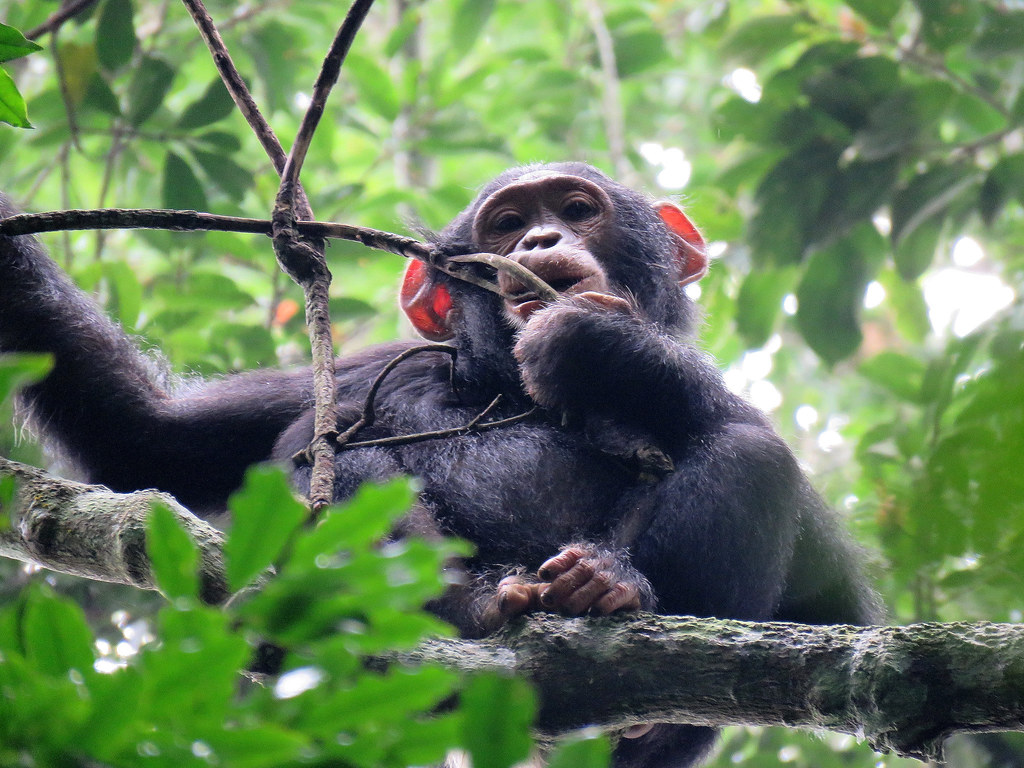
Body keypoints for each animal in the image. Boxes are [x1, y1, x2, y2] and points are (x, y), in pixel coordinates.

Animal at [0, 163, 880, 768]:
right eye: (506, 223)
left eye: (577, 210)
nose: (538, 243)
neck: (504, 384)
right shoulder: (372, 364)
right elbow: (148, 435)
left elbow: (839, 611)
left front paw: (606, 346)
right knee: (333, 443)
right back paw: (468, 606)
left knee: (753, 456)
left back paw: (608, 593)